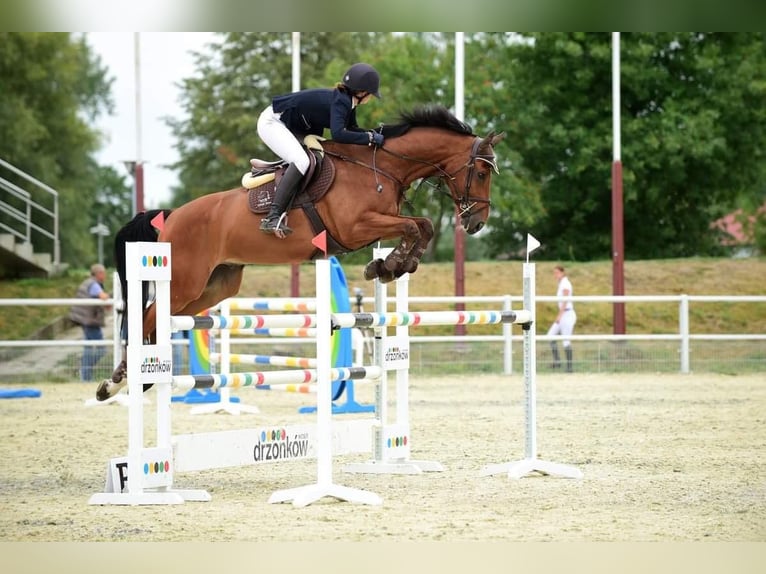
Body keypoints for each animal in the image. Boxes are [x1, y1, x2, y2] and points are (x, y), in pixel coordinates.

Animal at [96, 104, 504, 400]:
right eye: (482, 173)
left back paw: (130, 380)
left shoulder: (379, 222)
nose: (477, 222)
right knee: (147, 317)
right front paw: (389, 264)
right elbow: (414, 226)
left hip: (214, 286)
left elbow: (423, 226)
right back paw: (120, 380)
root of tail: (171, 216)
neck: (381, 167)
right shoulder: (357, 226)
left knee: (161, 318)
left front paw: (392, 265)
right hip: (185, 280)